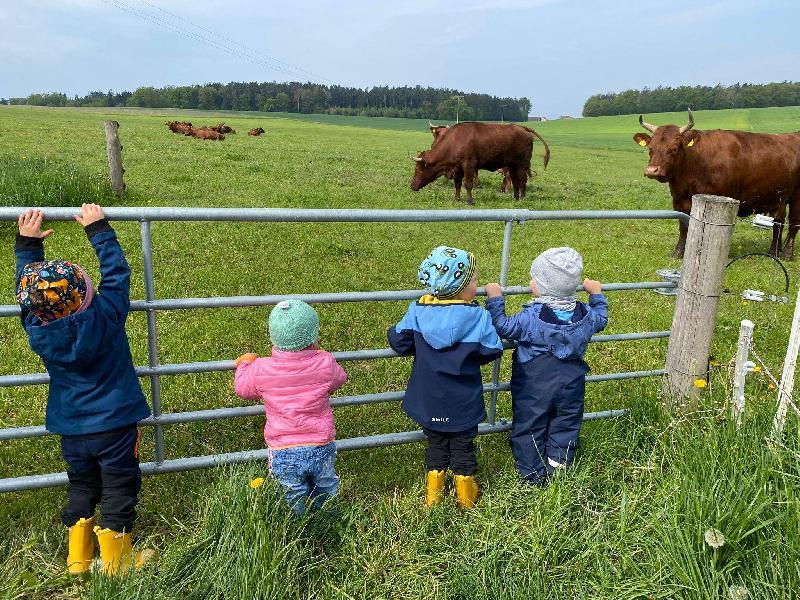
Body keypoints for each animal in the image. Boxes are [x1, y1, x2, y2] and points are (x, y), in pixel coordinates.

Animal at [412, 121, 552, 204]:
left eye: (418, 170)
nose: (412, 186)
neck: (454, 141)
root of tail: (523, 128)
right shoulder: (457, 167)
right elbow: (457, 184)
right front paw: (457, 199)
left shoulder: (468, 165)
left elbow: (468, 184)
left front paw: (470, 201)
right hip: (512, 165)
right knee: (515, 181)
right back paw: (515, 198)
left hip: (521, 164)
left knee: (522, 180)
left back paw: (522, 199)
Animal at [632, 109, 800, 258]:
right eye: (650, 148)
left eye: (674, 148)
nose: (652, 170)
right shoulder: (679, 201)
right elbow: (683, 227)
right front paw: (678, 252)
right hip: (778, 197)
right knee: (779, 222)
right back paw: (774, 251)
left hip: (796, 198)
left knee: (793, 223)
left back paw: (787, 253)